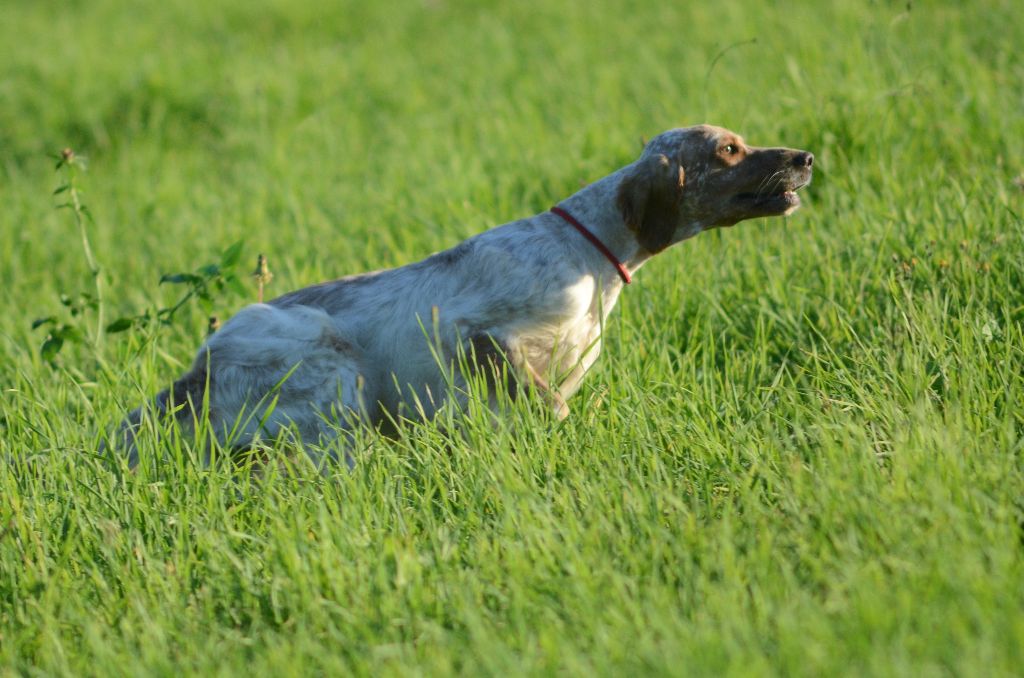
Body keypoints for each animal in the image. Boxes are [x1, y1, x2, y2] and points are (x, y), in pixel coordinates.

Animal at [114, 124, 815, 471]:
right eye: (729, 150)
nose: (806, 158)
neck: (588, 250)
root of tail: (195, 374)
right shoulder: (471, 334)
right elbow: (549, 407)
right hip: (329, 371)